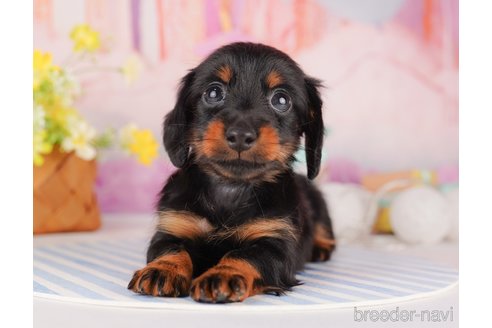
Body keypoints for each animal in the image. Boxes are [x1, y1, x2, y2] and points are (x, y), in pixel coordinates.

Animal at [127, 42, 336, 304]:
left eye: (281, 99)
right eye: (213, 93)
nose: (240, 135)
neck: (231, 188)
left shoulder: (274, 242)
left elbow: (244, 255)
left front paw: (223, 275)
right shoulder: (173, 226)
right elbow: (171, 249)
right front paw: (162, 269)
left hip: (318, 202)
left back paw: (321, 247)